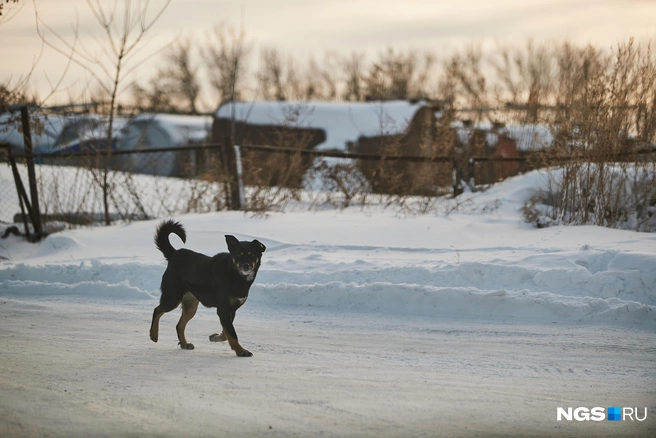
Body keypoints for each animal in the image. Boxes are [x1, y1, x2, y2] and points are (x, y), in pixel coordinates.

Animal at [150, 219, 266, 356]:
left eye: (252, 255)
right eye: (239, 255)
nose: (246, 265)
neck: (234, 274)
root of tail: (175, 253)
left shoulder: (231, 310)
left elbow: (226, 332)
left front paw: (215, 337)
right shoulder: (223, 309)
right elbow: (232, 333)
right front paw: (241, 351)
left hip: (190, 306)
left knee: (179, 325)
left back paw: (184, 344)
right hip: (172, 297)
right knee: (157, 310)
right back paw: (153, 334)